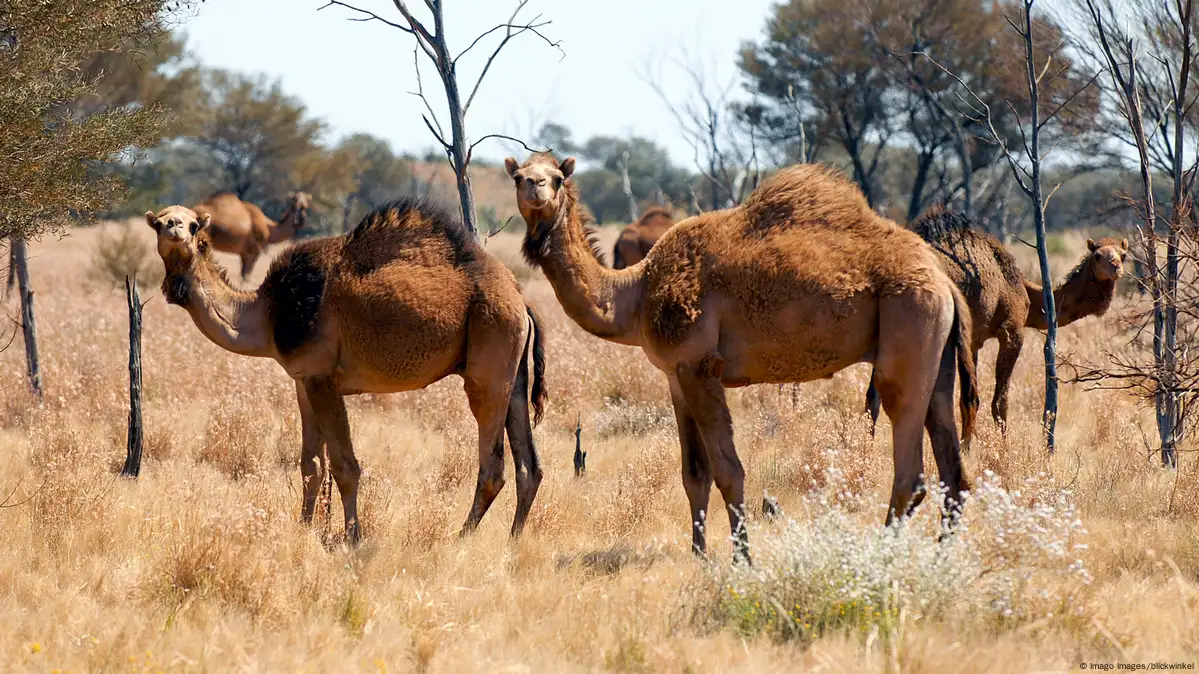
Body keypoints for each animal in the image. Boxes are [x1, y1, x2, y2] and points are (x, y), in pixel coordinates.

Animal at [143, 197, 549, 539]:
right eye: (159, 223)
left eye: (195, 225)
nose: (174, 228)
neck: (268, 314)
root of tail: (521, 299)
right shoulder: (303, 379)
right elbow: (311, 464)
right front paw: (305, 529)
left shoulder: (323, 378)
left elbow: (344, 466)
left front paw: (352, 536)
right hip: (513, 373)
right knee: (529, 466)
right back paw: (513, 540)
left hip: (488, 363)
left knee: (493, 466)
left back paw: (460, 538)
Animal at [501, 152, 978, 556]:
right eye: (519, 175)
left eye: (556, 177)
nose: (536, 188)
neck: (634, 293)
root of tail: (945, 283)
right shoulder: (675, 375)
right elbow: (694, 473)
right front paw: (699, 555)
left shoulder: (699, 366)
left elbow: (729, 471)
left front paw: (742, 559)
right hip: (936, 359)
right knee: (954, 471)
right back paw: (943, 558)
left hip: (908, 327)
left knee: (912, 470)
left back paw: (881, 557)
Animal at [863, 207, 1122, 431]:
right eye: (1098, 255)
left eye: (1123, 254)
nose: (1116, 267)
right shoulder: (1011, 330)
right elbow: (999, 403)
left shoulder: (973, 341)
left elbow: (969, 401)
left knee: (873, 397)